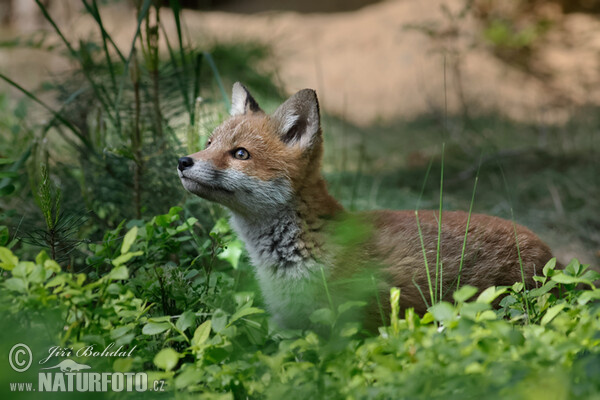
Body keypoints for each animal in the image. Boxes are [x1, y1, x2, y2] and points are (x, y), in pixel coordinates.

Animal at [177, 83, 552, 330]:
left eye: (240, 153)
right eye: (209, 143)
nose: (182, 161)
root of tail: (550, 252)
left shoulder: (362, 321)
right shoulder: (287, 326)